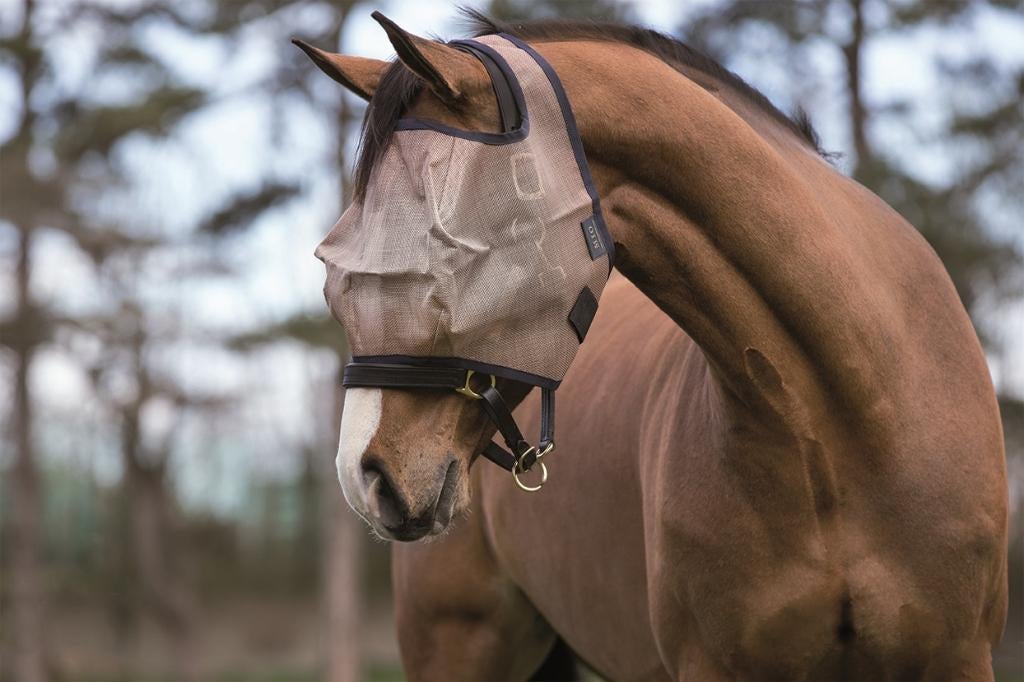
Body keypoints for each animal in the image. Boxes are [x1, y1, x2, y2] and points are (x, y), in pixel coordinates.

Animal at [295, 11, 1008, 681]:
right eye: (332, 269)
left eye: (443, 251)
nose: (366, 479)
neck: (844, 425)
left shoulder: (959, 658)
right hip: (457, 645)